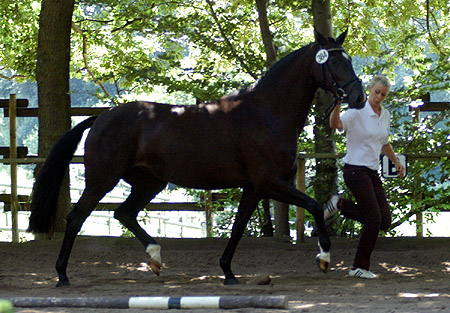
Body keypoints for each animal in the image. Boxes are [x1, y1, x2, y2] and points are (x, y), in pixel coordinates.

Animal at [28, 29, 366, 286]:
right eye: (335, 60)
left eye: (347, 58)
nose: (359, 97)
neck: (266, 113)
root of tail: (101, 117)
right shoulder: (269, 183)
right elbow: (314, 206)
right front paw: (324, 258)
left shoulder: (254, 188)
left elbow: (239, 227)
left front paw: (228, 272)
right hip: (102, 180)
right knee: (76, 217)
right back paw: (62, 275)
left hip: (149, 183)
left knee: (124, 213)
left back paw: (155, 259)